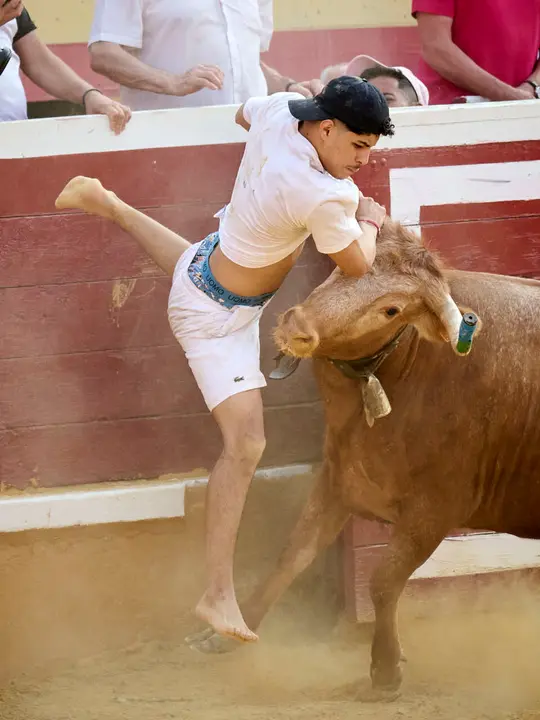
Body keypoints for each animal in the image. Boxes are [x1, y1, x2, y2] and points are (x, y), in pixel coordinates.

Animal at [187, 219, 540, 700]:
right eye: (339, 268)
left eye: (391, 310)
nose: (295, 324)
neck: (407, 365)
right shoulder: (340, 481)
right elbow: (293, 554)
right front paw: (229, 633)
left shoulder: (434, 511)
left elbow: (383, 582)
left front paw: (385, 670)